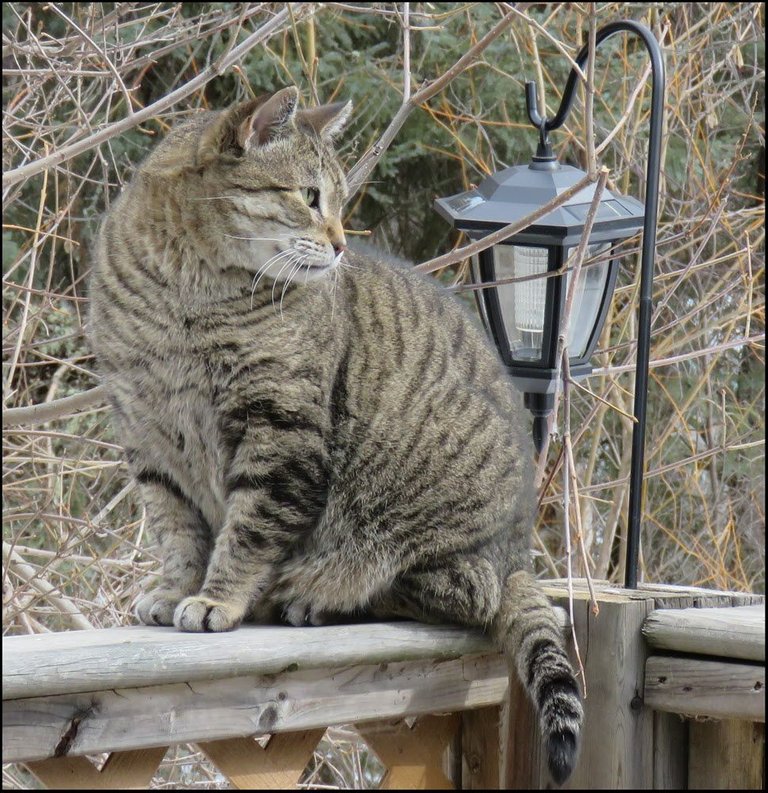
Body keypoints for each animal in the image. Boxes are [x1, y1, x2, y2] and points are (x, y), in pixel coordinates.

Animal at [88, 85, 584, 780]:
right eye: (309, 195)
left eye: (340, 200)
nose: (344, 244)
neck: (185, 294)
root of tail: (518, 558)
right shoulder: (149, 436)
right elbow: (178, 529)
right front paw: (175, 587)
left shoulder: (281, 432)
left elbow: (247, 531)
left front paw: (217, 599)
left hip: (419, 526)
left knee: (454, 593)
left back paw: (310, 596)